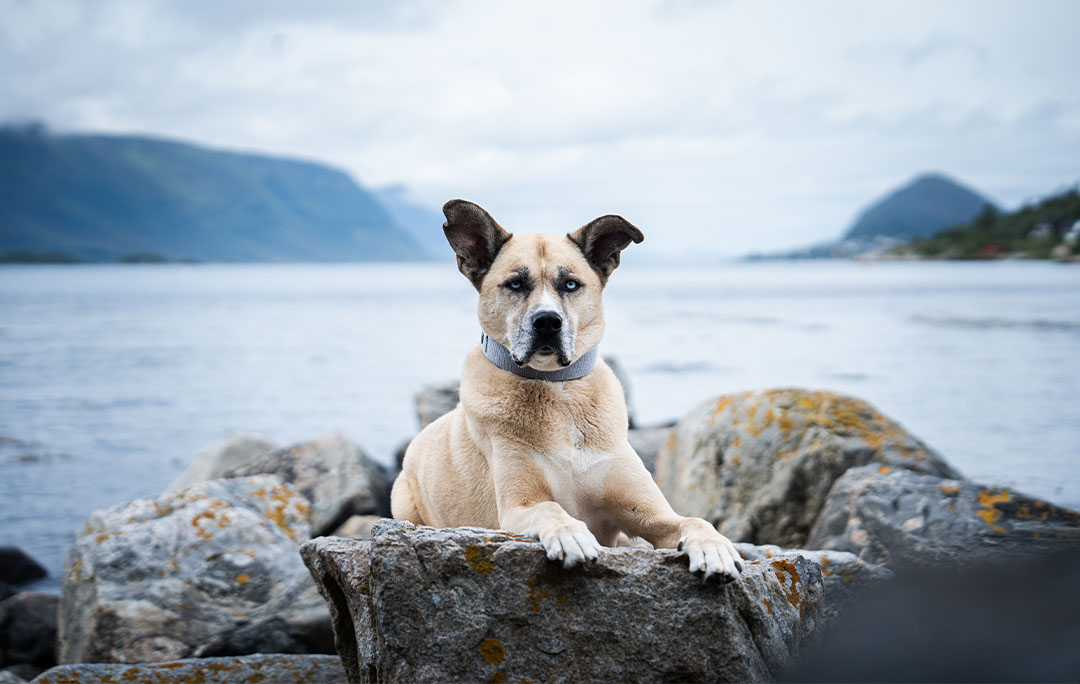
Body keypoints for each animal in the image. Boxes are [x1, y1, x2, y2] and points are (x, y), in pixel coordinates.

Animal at [393, 199, 747, 579]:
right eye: (515, 284)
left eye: (571, 284)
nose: (548, 321)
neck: (556, 390)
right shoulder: (517, 508)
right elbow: (550, 509)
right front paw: (570, 534)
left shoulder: (648, 512)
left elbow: (693, 520)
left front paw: (713, 547)